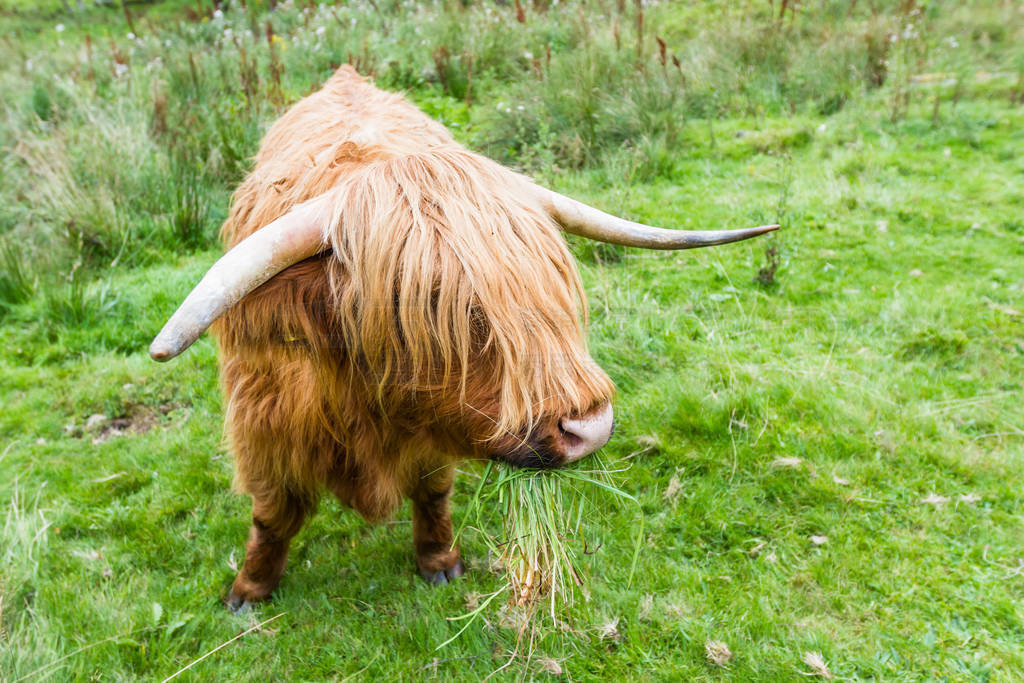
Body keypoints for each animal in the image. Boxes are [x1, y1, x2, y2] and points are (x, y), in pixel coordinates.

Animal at [151, 65, 774, 610]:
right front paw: (250, 591)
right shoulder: (265, 427)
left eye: (554, 283)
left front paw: (439, 561)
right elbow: (273, 515)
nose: (590, 429)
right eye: (430, 306)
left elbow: (432, 490)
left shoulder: (433, 432)